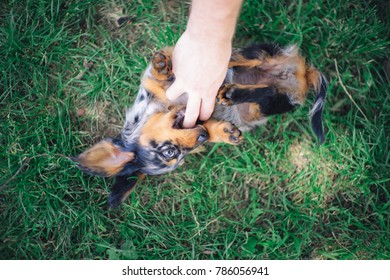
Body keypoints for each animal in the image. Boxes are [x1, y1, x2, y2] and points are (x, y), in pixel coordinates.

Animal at [72, 43, 326, 208]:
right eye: (175, 154)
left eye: (169, 151)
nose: (201, 137)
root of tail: (301, 73)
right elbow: (207, 123)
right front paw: (223, 133)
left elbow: (157, 81)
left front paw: (162, 67)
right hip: (269, 105)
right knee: (268, 91)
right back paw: (234, 92)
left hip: (255, 53)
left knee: (237, 57)